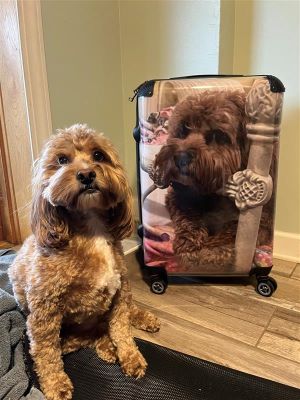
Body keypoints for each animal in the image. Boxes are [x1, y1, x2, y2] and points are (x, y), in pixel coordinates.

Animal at [8, 125, 161, 400]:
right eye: (62, 160)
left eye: (98, 155)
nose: (87, 174)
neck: (91, 229)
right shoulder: (44, 311)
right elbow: (46, 353)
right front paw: (56, 384)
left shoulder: (120, 291)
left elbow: (122, 329)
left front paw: (130, 356)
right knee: (82, 338)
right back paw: (105, 347)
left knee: (117, 319)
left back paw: (141, 320)